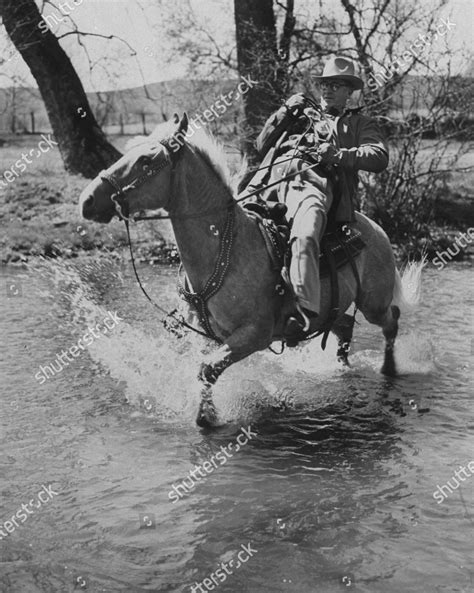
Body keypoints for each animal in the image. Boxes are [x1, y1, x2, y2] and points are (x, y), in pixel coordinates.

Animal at [79, 114, 424, 426]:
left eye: (147, 161)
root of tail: (375, 229)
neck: (226, 249)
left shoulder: (254, 334)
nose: (87, 200)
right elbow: (205, 368)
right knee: (345, 330)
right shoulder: (209, 336)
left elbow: (207, 368)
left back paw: (389, 370)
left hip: (373, 303)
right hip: (335, 308)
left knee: (391, 321)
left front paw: (207, 418)